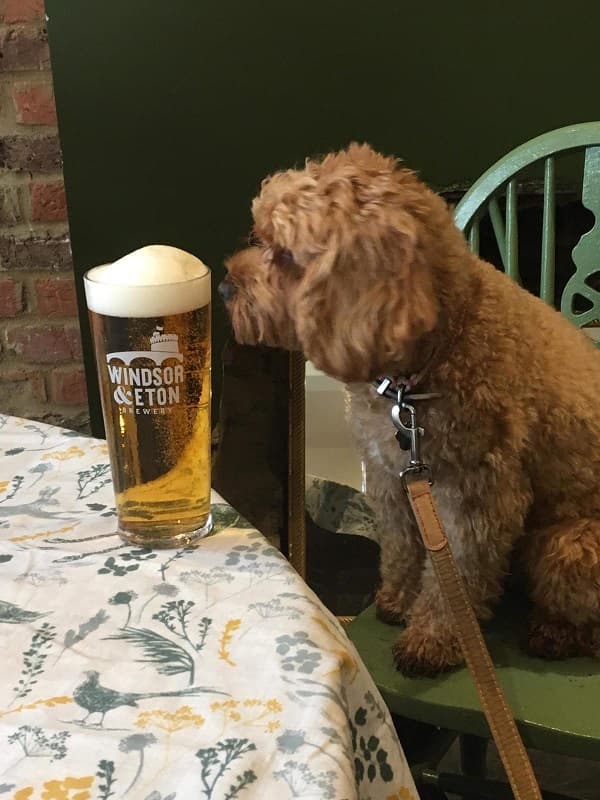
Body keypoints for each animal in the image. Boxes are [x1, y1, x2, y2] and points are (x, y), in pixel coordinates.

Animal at [220, 142, 600, 676]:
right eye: (260, 235)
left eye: (288, 256)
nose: (224, 288)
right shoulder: (391, 478)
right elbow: (402, 548)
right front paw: (399, 602)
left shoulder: (478, 500)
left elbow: (455, 580)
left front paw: (433, 639)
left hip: (569, 547)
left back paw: (556, 632)